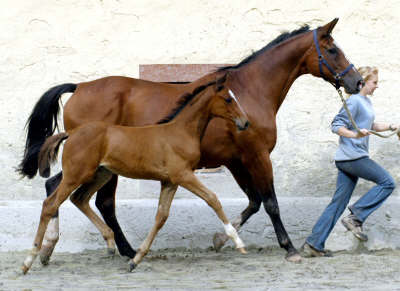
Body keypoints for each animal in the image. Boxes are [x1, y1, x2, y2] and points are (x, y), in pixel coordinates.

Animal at [21, 76, 250, 276]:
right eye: (228, 99)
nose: (245, 122)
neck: (180, 131)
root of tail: (72, 133)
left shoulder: (169, 181)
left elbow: (161, 216)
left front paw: (135, 260)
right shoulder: (183, 175)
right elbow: (213, 199)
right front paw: (238, 243)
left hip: (101, 174)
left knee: (79, 198)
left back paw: (110, 243)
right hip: (77, 174)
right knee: (50, 204)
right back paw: (29, 260)